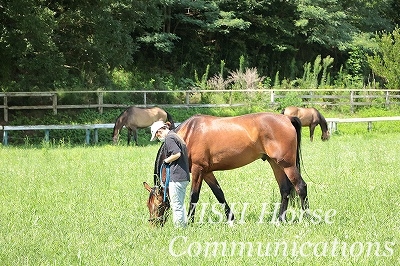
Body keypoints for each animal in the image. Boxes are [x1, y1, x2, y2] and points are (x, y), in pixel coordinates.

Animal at [144, 111, 310, 224]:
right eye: (148, 205)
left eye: (159, 205)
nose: (155, 225)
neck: (188, 135)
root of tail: (287, 118)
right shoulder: (207, 172)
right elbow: (219, 194)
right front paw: (231, 218)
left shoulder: (198, 170)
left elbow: (194, 196)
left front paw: (190, 222)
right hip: (275, 163)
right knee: (285, 189)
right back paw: (280, 220)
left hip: (287, 165)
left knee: (301, 187)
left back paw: (308, 218)